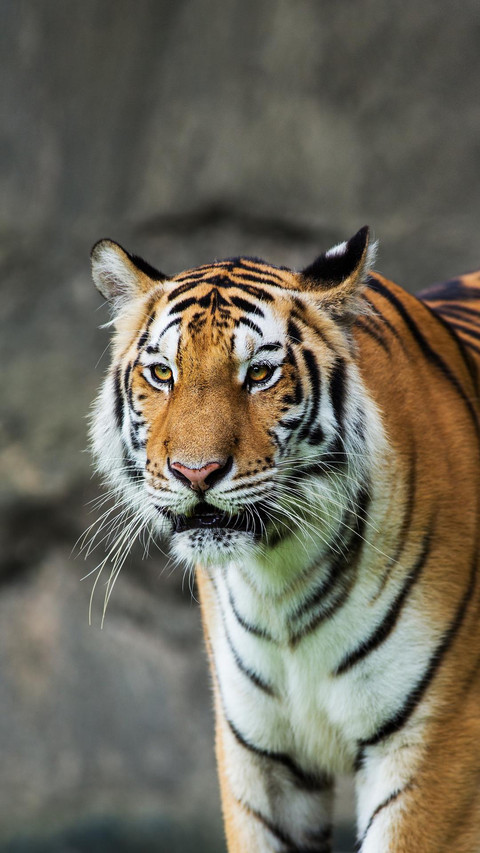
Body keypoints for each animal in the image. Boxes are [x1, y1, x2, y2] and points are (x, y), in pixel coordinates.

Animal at [89, 226, 480, 853]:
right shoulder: (258, 756)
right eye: (163, 374)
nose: (195, 473)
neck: (283, 578)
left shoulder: (433, 742)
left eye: (259, 375)